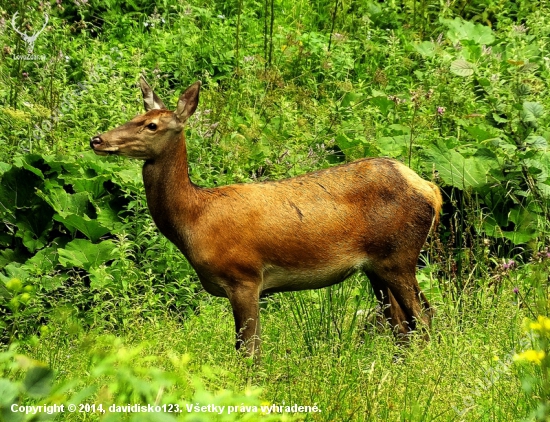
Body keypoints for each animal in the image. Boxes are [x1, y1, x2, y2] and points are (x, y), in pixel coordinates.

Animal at [90, 76, 444, 356]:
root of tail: (430, 189)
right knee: (400, 324)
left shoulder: (244, 276)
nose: (98, 139)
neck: (195, 218)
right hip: (376, 266)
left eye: (152, 125)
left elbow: (249, 350)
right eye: (135, 115)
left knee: (423, 316)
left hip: (399, 255)